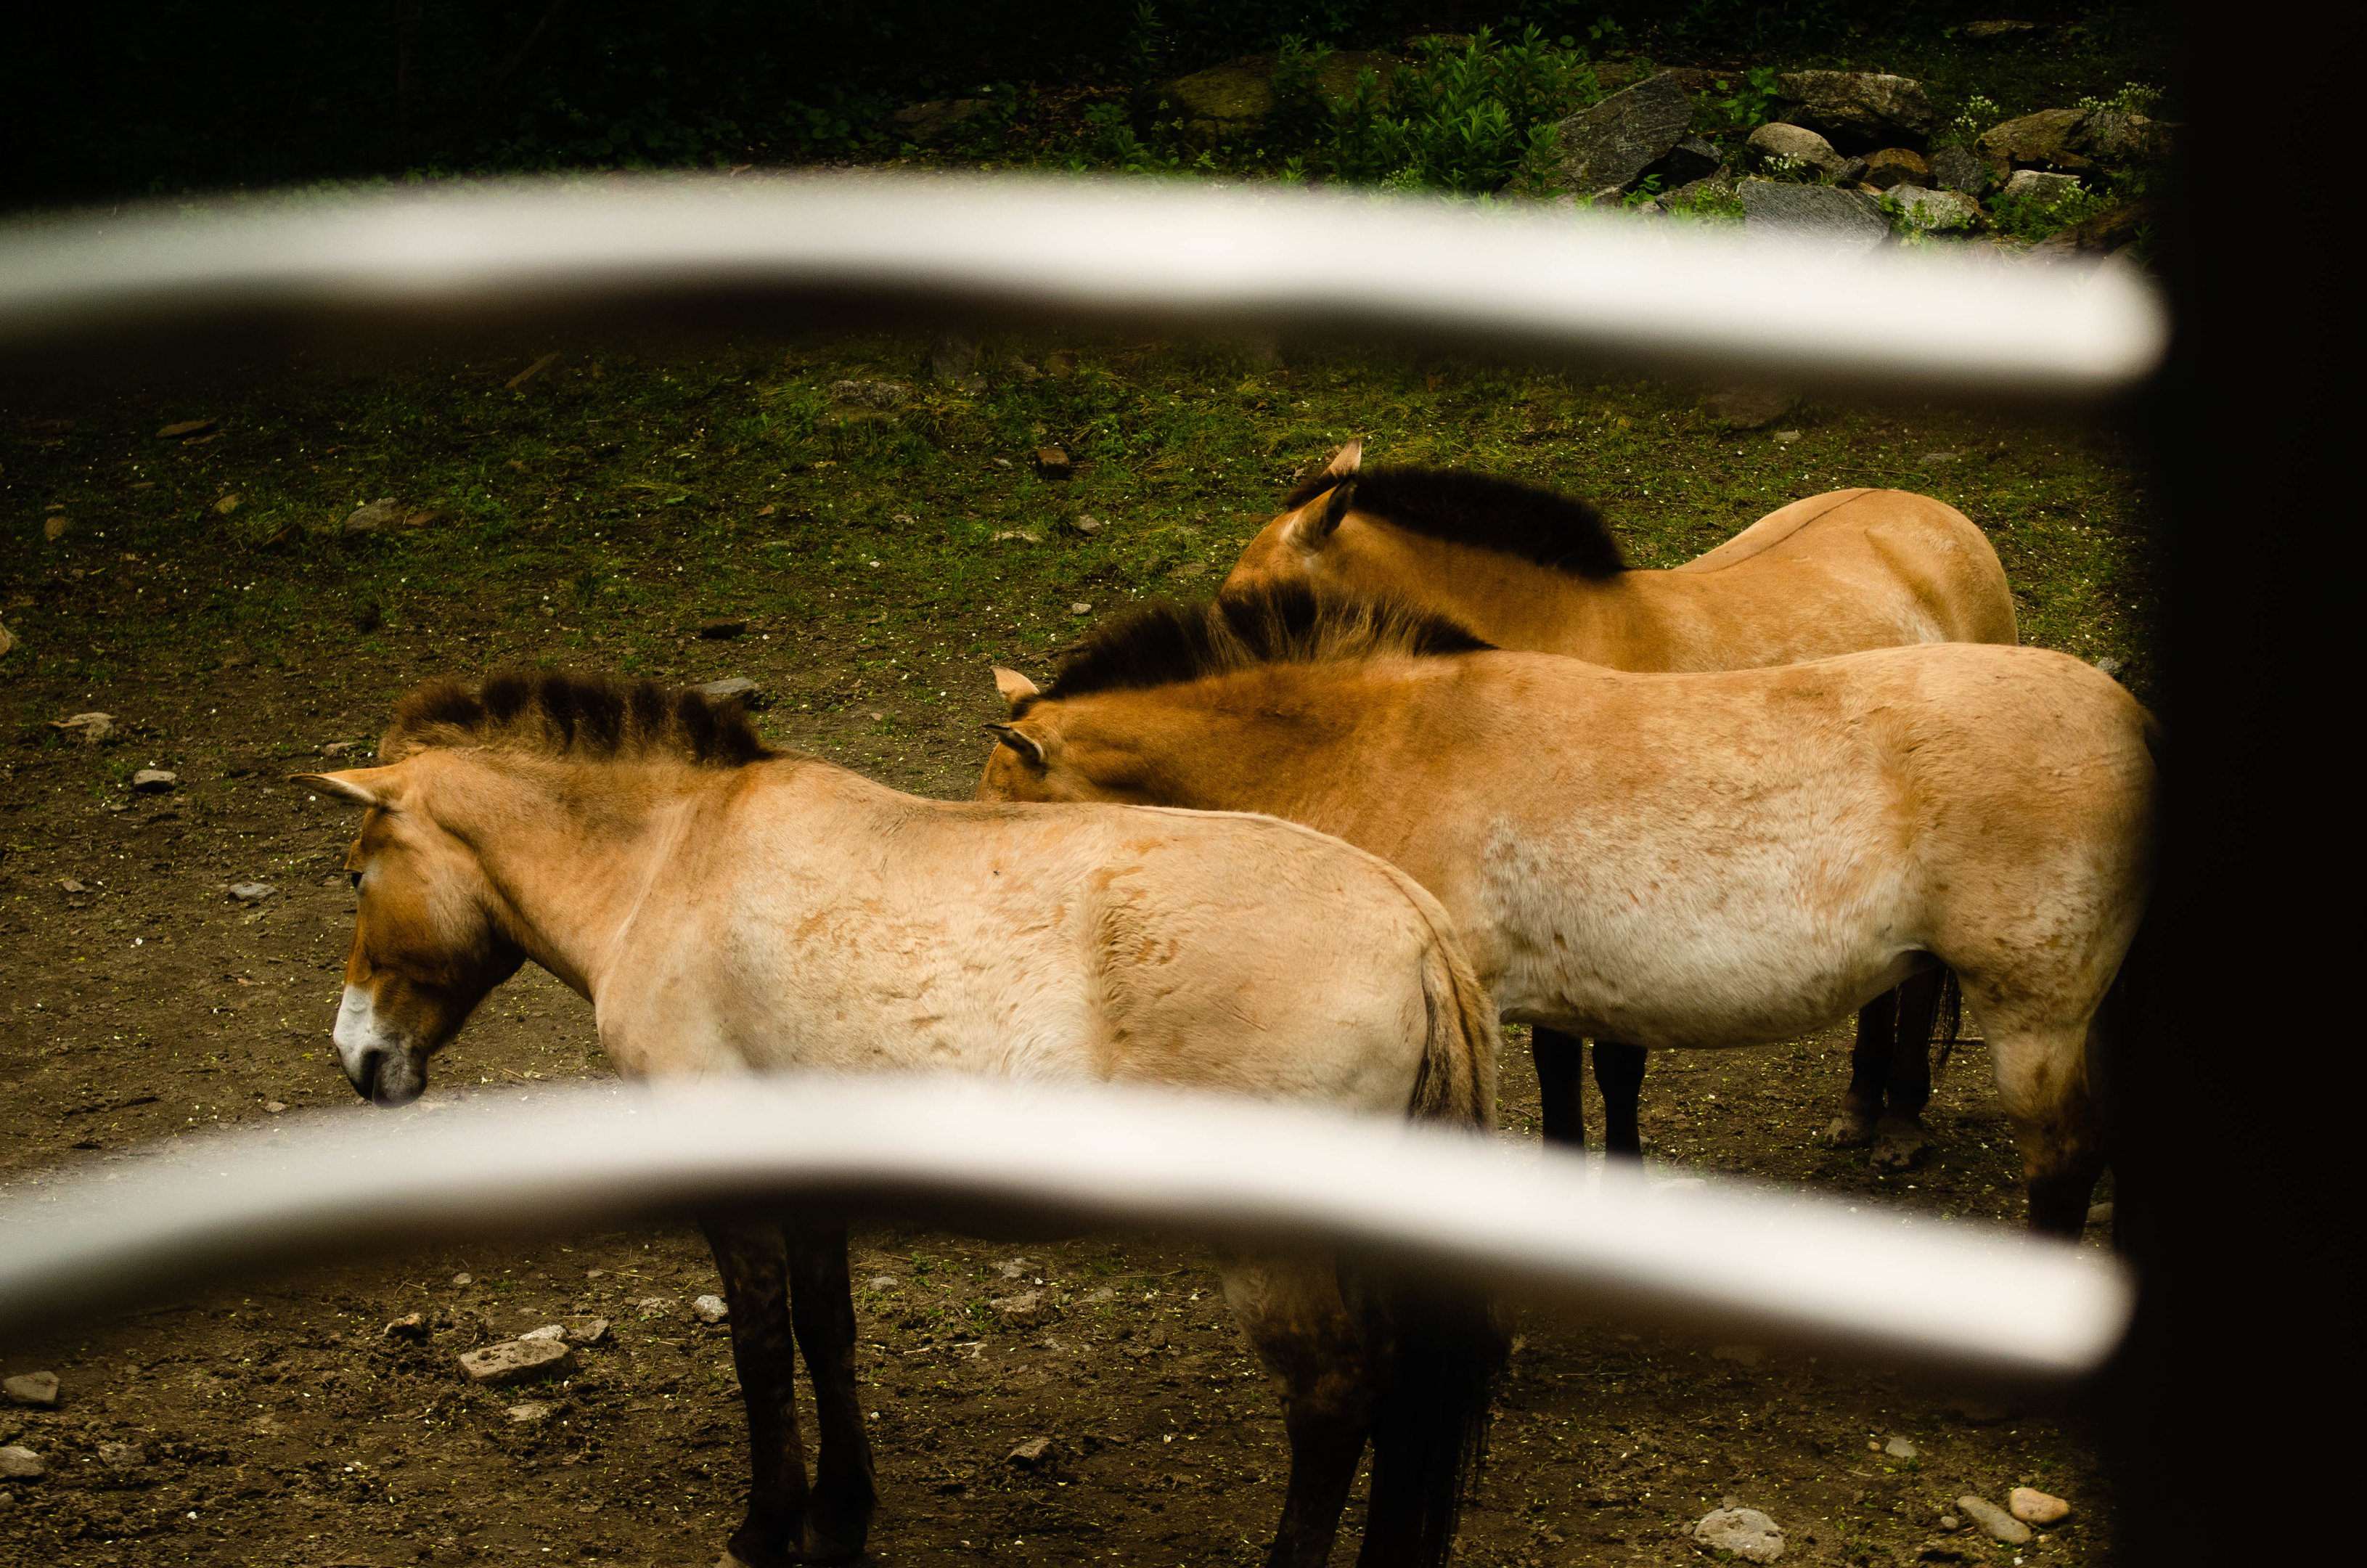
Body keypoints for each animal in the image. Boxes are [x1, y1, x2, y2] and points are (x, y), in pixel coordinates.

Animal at [297, 669, 1501, 1568]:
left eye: (358, 874)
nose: (360, 1057)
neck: (669, 865)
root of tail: (1412, 927)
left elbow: (758, 1343)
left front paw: (767, 1526)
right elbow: (825, 1332)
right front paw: (839, 1518)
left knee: (1334, 1402)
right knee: (1402, 1400)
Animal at [1221, 443, 2023, 1172]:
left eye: (1237, 604)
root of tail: (1936, 516)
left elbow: (1615, 1069)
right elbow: (1555, 1064)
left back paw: (1901, 1121)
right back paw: (1860, 1105)